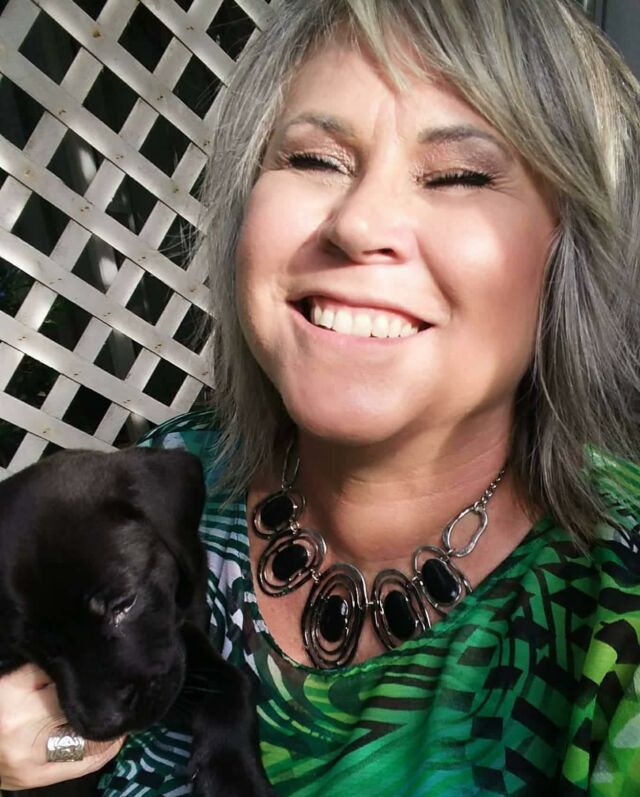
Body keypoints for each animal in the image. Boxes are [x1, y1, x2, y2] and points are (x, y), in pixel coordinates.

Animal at [0, 446, 273, 797]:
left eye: (124, 603)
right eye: (28, 644)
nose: (108, 723)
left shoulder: (179, 643)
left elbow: (231, 679)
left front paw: (235, 777)